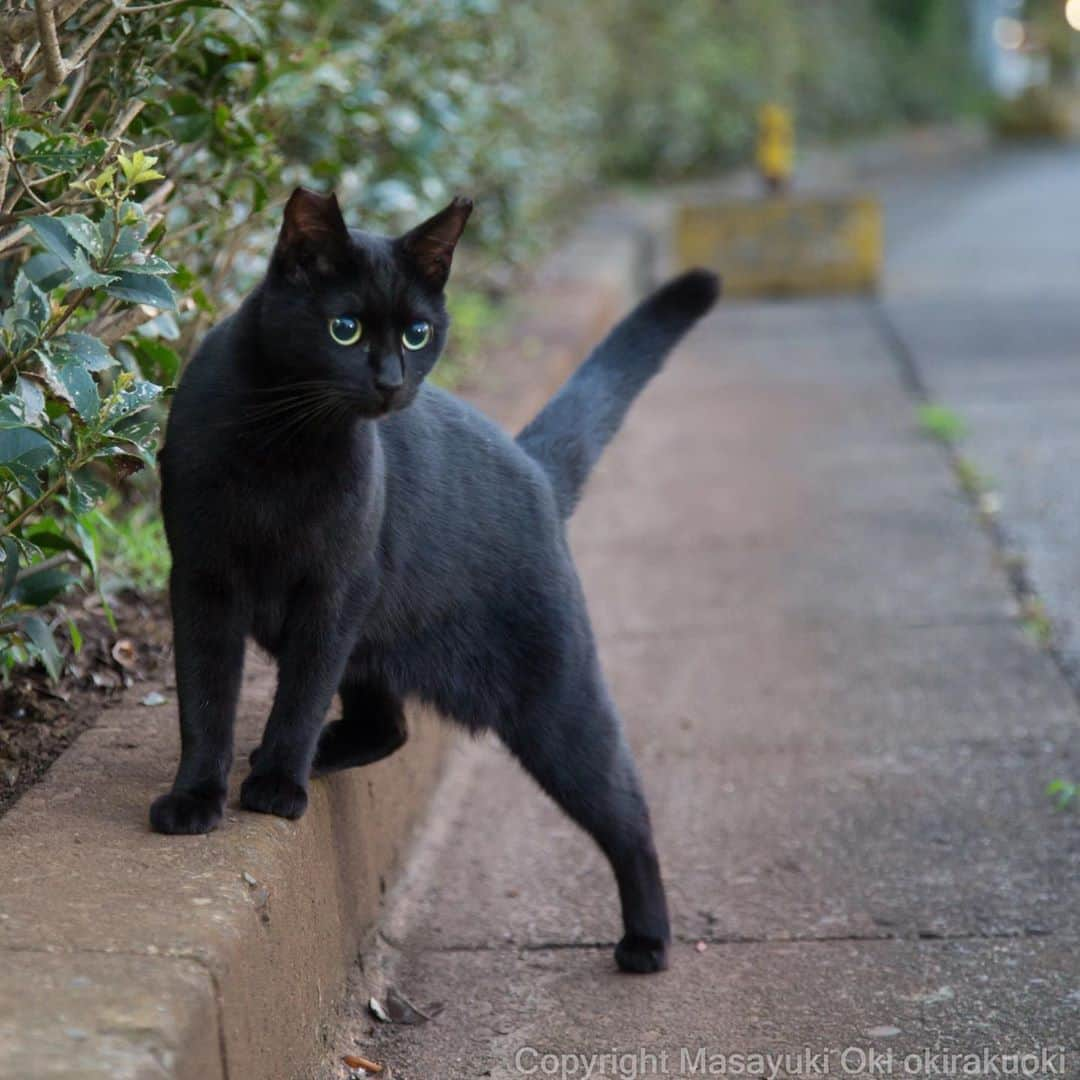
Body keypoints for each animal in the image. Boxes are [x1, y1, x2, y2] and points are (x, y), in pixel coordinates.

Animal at [150, 190, 717, 976]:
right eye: (346, 327)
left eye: (418, 334)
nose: (391, 380)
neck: (285, 445)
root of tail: (533, 465)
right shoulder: (203, 581)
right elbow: (204, 701)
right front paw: (196, 796)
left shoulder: (334, 592)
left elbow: (298, 695)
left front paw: (277, 785)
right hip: (377, 645)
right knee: (388, 727)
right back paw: (324, 750)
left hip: (554, 698)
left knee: (628, 812)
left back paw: (647, 941)